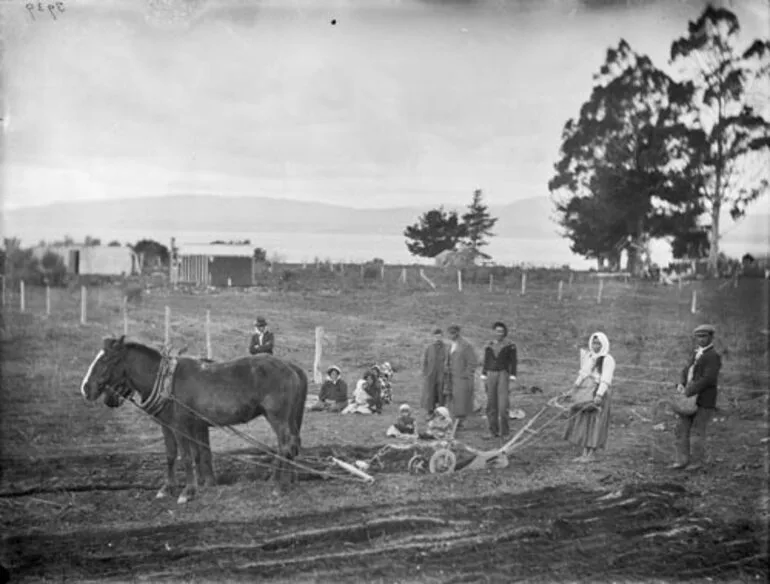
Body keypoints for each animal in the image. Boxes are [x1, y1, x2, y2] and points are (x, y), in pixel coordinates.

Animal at [79, 336, 306, 504]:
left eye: (106, 360)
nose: (86, 388)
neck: (168, 382)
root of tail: (290, 367)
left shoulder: (181, 426)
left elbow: (187, 457)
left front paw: (187, 491)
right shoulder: (168, 425)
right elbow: (173, 455)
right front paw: (167, 488)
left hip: (277, 417)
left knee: (286, 445)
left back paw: (280, 487)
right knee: (289, 445)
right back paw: (286, 480)